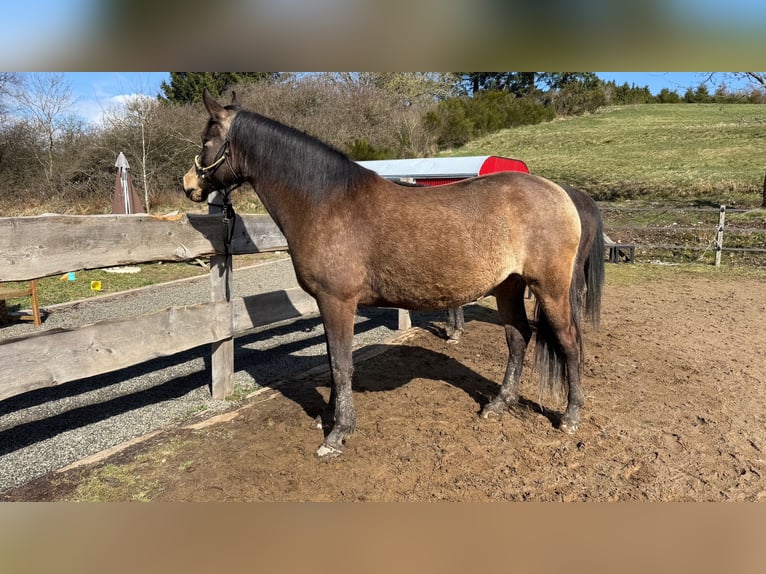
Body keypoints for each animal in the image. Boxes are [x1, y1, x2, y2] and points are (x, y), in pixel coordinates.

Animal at [183, 89, 586, 457]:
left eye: (206, 139)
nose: (189, 185)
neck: (326, 203)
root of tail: (559, 192)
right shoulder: (330, 303)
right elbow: (332, 362)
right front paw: (328, 417)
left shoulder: (338, 301)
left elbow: (341, 364)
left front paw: (337, 433)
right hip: (508, 286)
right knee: (518, 337)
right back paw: (499, 403)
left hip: (550, 288)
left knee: (568, 342)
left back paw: (570, 416)